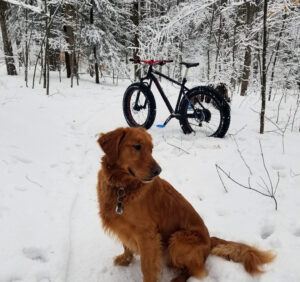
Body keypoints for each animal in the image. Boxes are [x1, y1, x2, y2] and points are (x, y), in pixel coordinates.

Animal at [96, 128, 274, 282]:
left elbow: (147, 268)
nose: (158, 171)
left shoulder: (147, 235)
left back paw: (178, 279)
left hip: (178, 239)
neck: (121, 187)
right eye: (137, 146)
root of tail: (209, 240)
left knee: (194, 270)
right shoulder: (124, 227)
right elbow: (126, 246)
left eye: (151, 149)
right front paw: (125, 260)